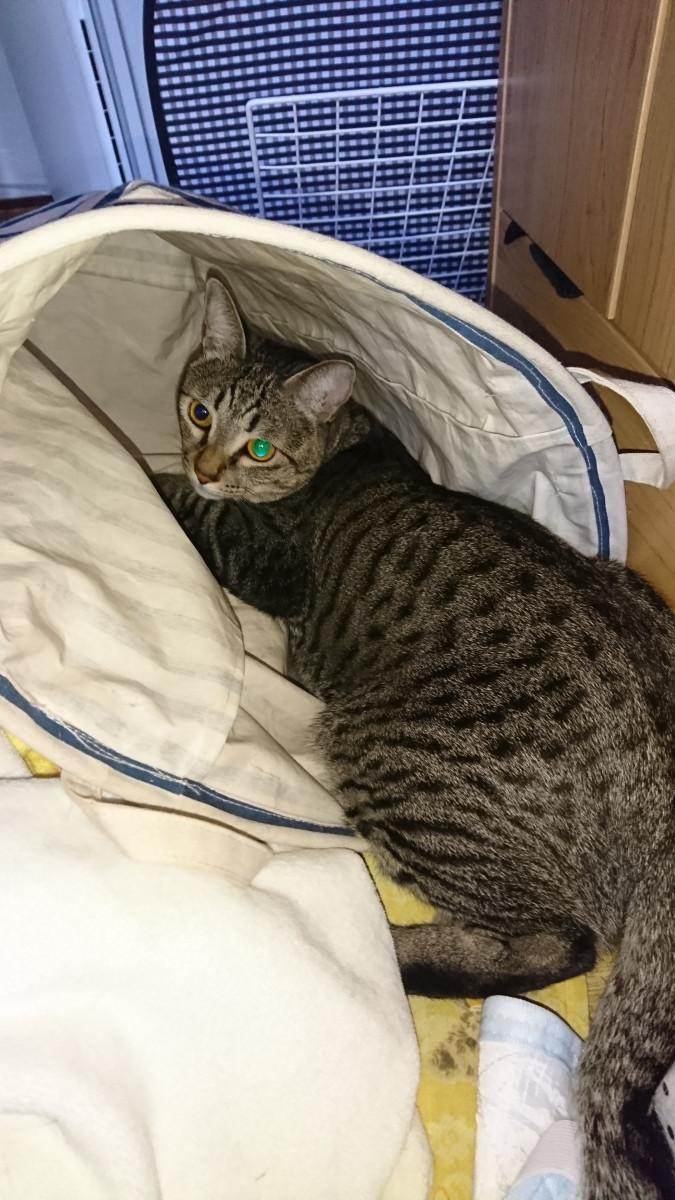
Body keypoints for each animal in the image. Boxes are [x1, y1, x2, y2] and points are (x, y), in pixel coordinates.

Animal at [156, 276, 675, 1200]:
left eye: (257, 446)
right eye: (198, 409)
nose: (207, 465)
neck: (348, 443)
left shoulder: (261, 563)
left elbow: (181, 506)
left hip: (390, 762)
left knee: (560, 942)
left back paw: (384, 954)